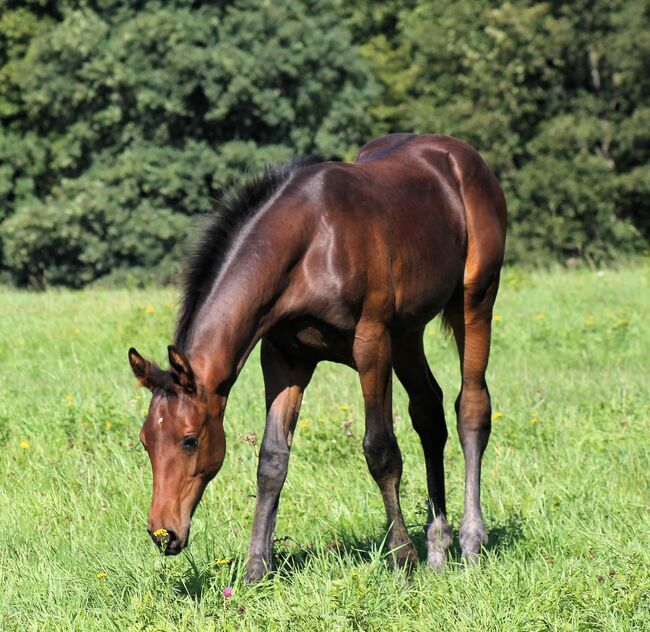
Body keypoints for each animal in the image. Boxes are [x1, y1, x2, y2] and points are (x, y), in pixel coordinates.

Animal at [128, 133, 506, 584]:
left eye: (190, 440)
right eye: (145, 440)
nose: (163, 533)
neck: (312, 242)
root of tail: (461, 155)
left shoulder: (372, 343)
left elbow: (380, 450)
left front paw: (401, 557)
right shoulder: (284, 358)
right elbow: (272, 460)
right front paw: (256, 568)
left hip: (474, 301)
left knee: (471, 407)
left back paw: (470, 542)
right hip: (408, 334)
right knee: (429, 412)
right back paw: (437, 546)